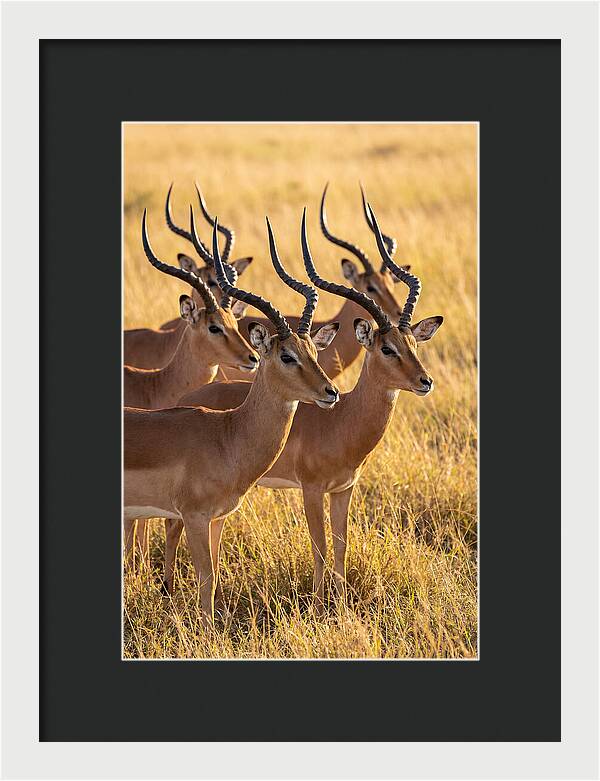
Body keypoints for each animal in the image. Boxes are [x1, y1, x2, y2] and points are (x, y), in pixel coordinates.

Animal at [172, 205, 443, 612]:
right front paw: (317, 607)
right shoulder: (312, 489)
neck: (343, 420)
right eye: (386, 348)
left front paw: (342, 606)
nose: (424, 381)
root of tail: (187, 400)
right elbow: (320, 549)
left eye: (413, 343)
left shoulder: (344, 489)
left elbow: (342, 547)